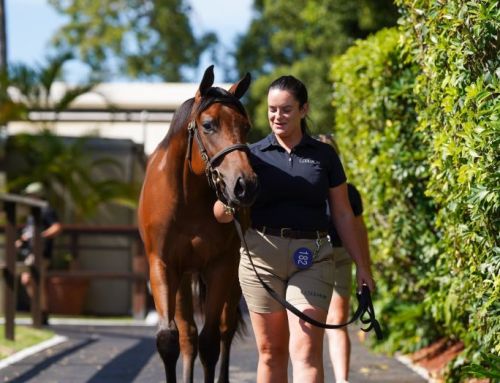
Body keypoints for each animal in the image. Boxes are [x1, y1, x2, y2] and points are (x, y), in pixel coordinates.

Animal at [139, 67, 260, 383]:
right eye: (208, 125)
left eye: (246, 126)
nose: (245, 185)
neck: (187, 199)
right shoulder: (162, 264)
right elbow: (170, 339)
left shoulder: (220, 266)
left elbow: (211, 342)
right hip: (184, 277)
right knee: (188, 335)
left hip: (234, 276)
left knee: (225, 330)